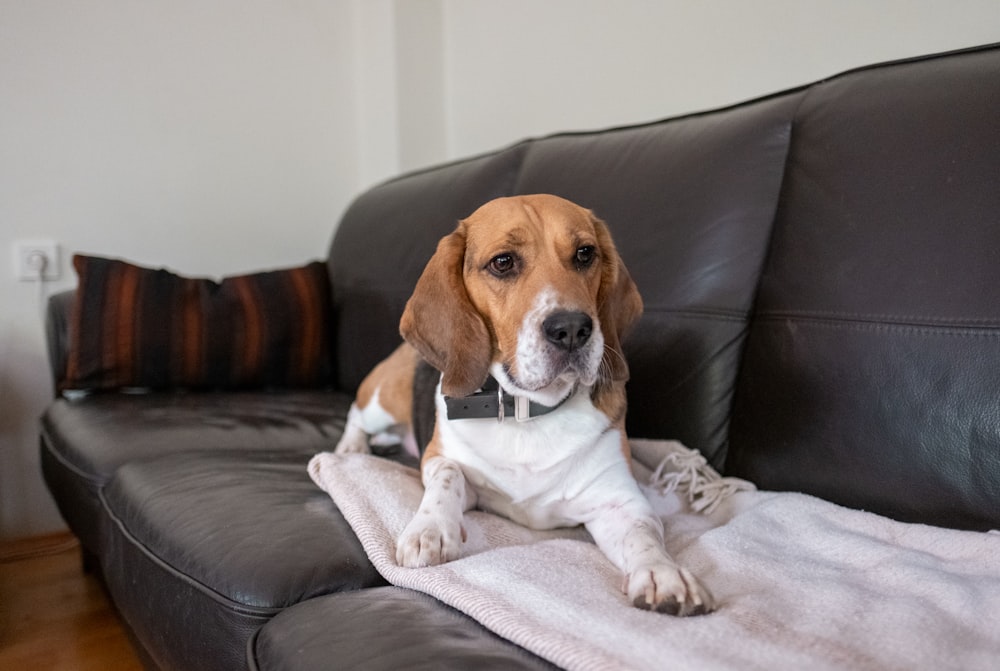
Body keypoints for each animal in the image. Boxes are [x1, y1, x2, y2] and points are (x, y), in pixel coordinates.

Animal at [340, 193, 716, 616]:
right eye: (503, 262)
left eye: (585, 254)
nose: (572, 328)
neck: (528, 411)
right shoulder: (441, 459)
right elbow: (448, 476)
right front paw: (430, 530)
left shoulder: (619, 501)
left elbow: (645, 536)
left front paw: (663, 574)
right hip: (381, 399)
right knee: (355, 415)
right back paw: (351, 449)